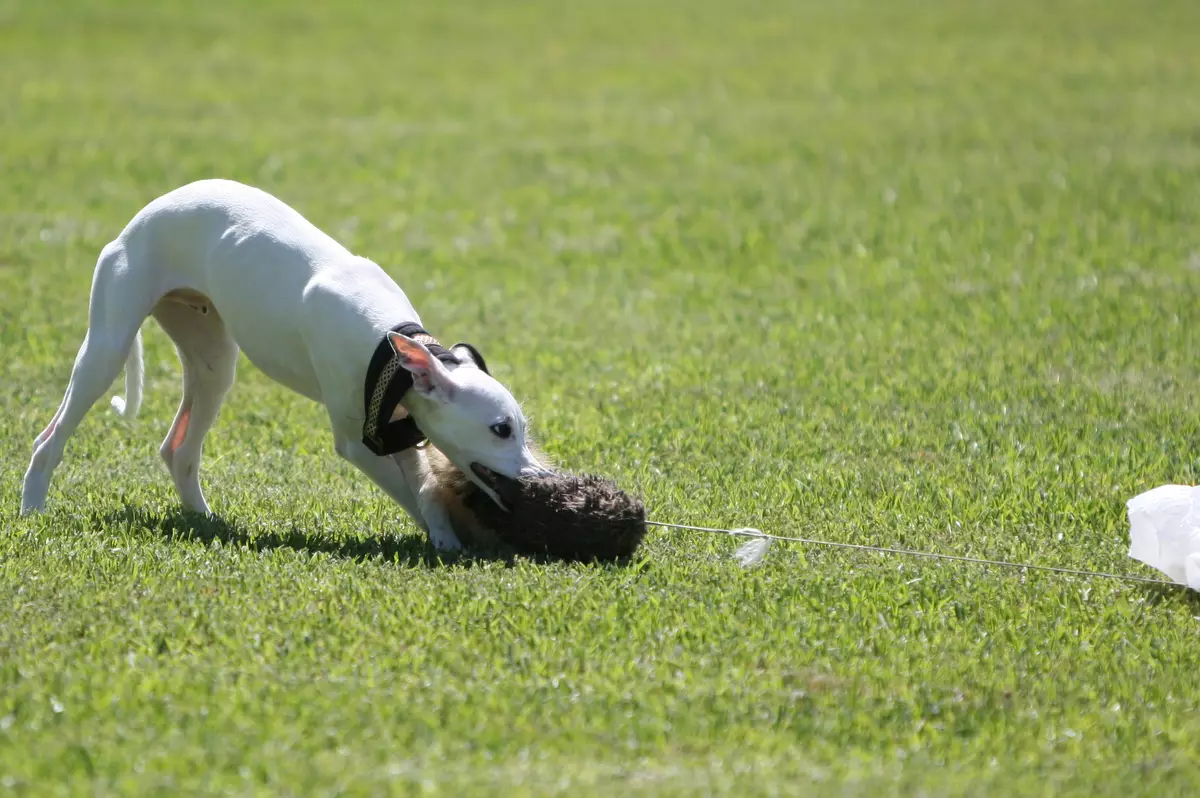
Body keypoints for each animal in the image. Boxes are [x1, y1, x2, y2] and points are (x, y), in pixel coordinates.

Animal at [21, 178, 547, 547]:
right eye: (501, 429)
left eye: (522, 428)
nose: (539, 481)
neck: (391, 346)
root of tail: (139, 220)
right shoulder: (359, 445)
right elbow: (410, 493)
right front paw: (457, 543)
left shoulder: (399, 428)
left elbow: (426, 489)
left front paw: (446, 537)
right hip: (107, 348)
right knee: (50, 438)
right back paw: (32, 509)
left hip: (213, 364)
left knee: (179, 450)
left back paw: (206, 521)